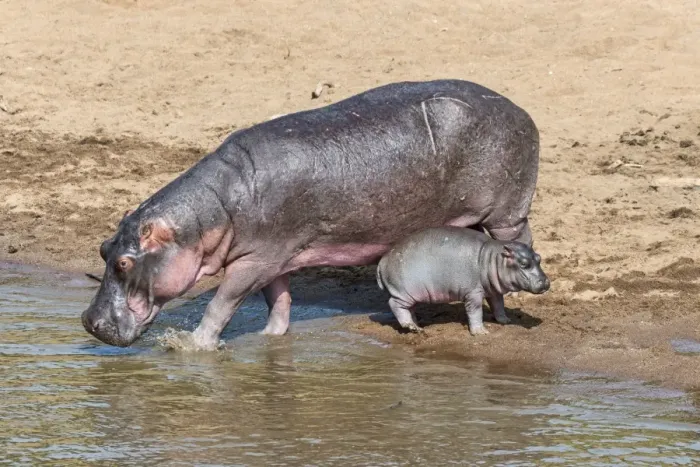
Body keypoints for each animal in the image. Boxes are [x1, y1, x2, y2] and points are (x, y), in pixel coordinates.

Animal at [375, 226, 550, 335]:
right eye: (523, 264)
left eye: (539, 258)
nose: (545, 282)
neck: (492, 259)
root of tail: (382, 261)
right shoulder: (473, 293)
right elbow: (475, 311)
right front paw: (481, 332)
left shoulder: (493, 290)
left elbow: (498, 305)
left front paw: (505, 320)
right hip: (403, 292)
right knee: (395, 305)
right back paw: (410, 326)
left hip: (410, 295)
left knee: (408, 309)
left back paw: (416, 327)